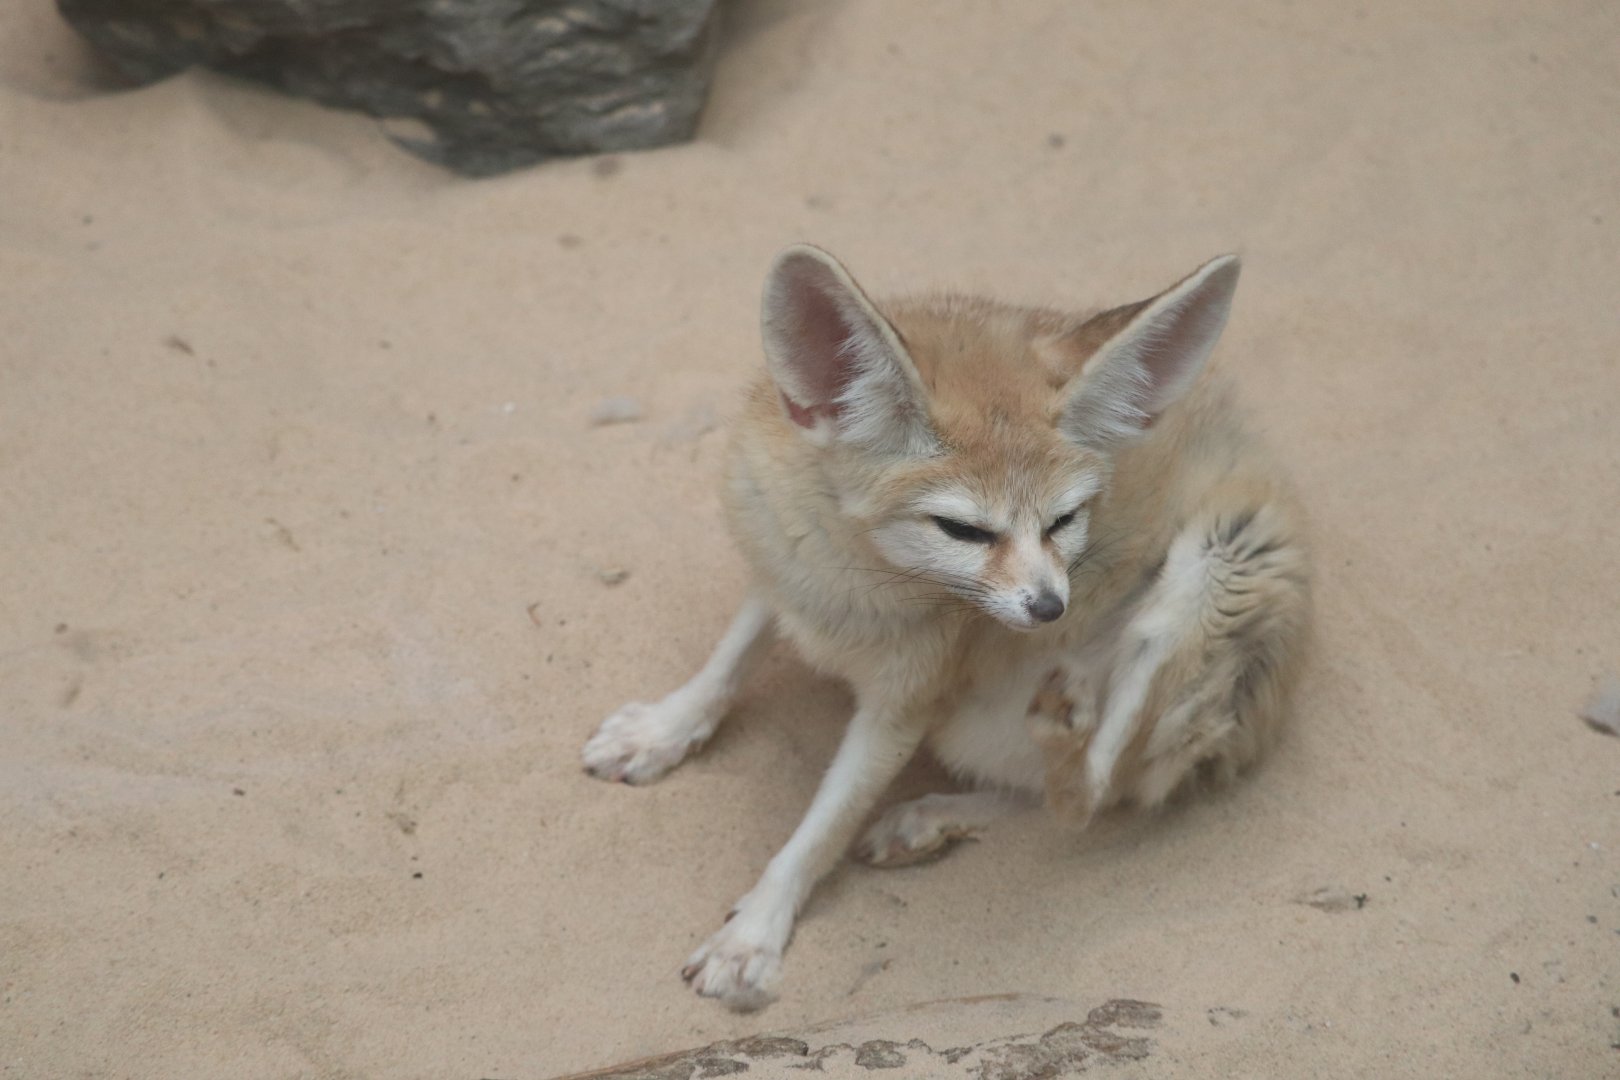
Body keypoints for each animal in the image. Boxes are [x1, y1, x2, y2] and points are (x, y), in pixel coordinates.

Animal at [581, 245, 1311, 1011]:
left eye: (1064, 521)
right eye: (963, 530)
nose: (1051, 609)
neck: (854, 583)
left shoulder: (905, 705)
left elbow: (824, 824)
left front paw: (754, 932)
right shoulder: (784, 575)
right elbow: (727, 663)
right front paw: (661, 730)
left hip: (1216, 562)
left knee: (1093, 794)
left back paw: (1023, 757)